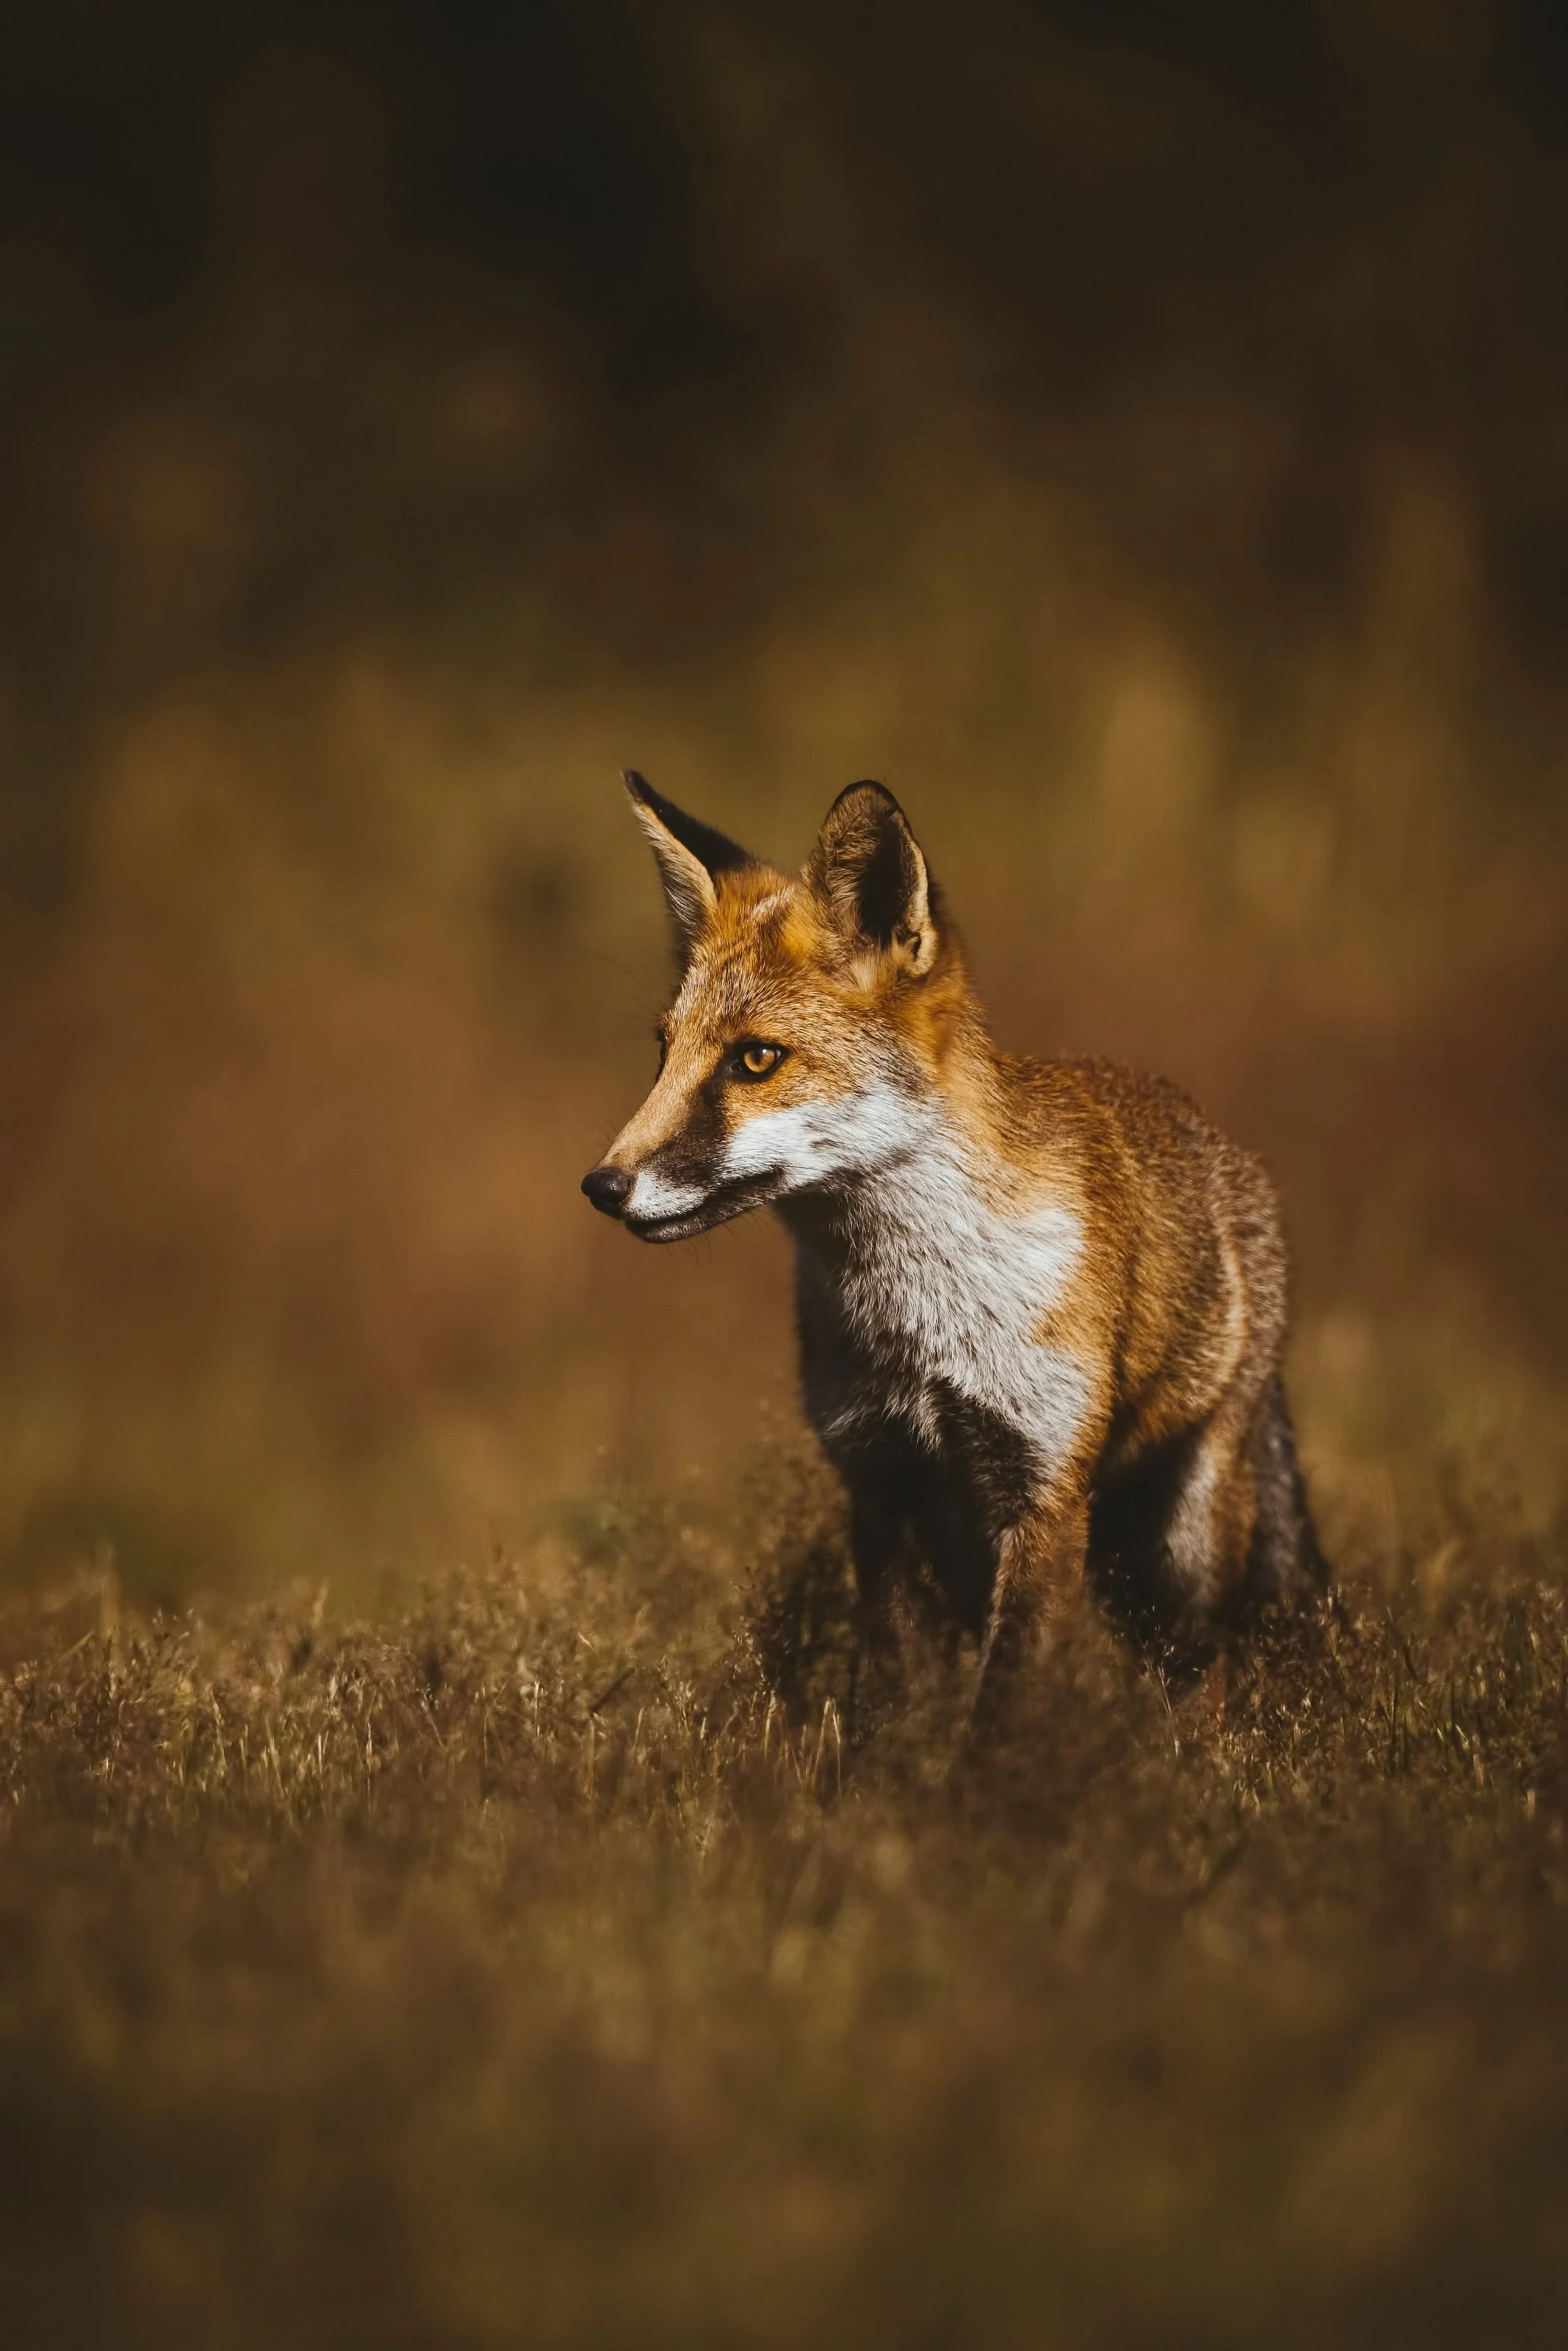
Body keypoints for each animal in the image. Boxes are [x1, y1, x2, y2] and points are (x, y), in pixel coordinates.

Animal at [583, 772, 1325, 1725]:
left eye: (755, 1059)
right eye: (664, 1053)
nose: (603, 1185)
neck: (920, 1332)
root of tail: (1220, 1142)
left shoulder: (1042, 1491)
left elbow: (1001, 1710)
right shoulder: (880, 1483)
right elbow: (900, 1702)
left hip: (1180, 1542)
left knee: (1207, 1669)